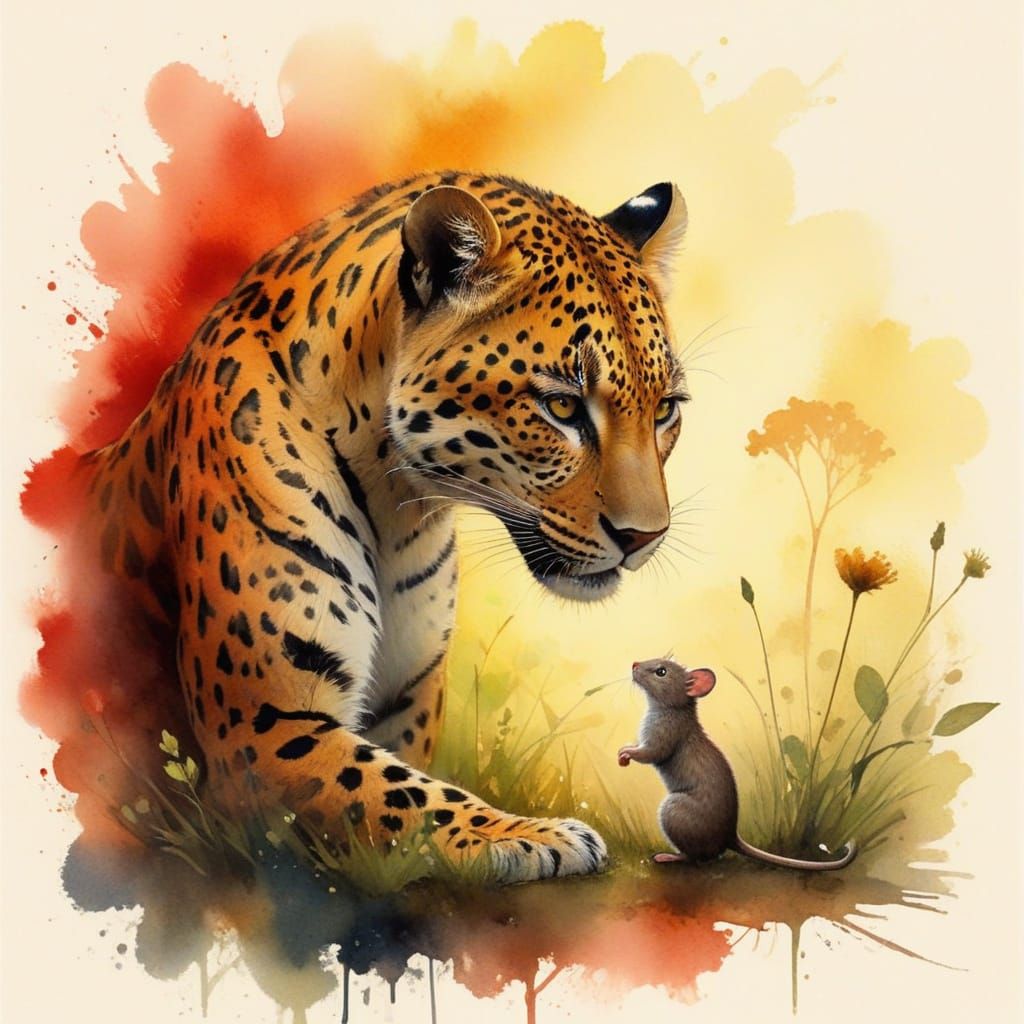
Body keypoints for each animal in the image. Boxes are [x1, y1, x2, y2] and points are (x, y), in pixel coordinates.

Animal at [77, 170, 691, 883]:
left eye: (665, 409)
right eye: (561, 406)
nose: (644, 538)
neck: (400, 510)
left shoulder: (404, 704)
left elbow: (408, 783)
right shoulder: (264, 726)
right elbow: (404, 796)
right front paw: (531, 835)